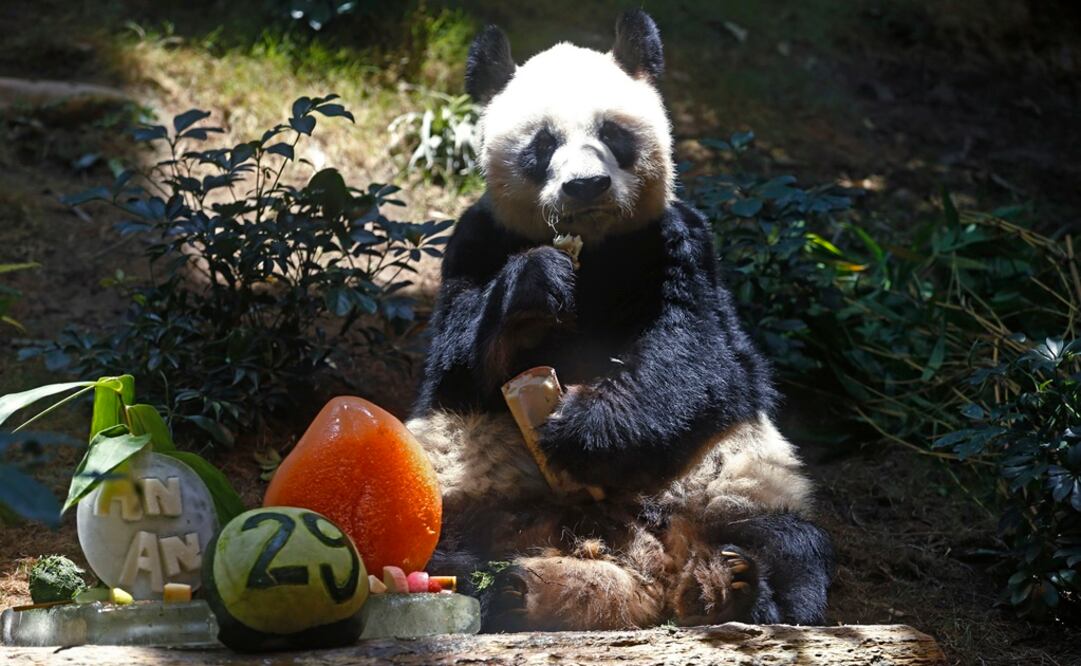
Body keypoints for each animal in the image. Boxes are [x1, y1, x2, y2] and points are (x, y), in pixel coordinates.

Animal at [405, 10, 833, 631]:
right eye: (543, 145)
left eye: (612, 135)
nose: (586, 185)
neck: (598, 248)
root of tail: (646, 567)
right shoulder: (474, 240)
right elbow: (456, 360)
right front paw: (536, 287)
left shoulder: (678, 243)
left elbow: (700, 359)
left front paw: (579, 427)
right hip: (456, 486)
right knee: (435, 548)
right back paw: (512, 586)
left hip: (739, 481)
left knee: (791, 548)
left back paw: (740, 587)